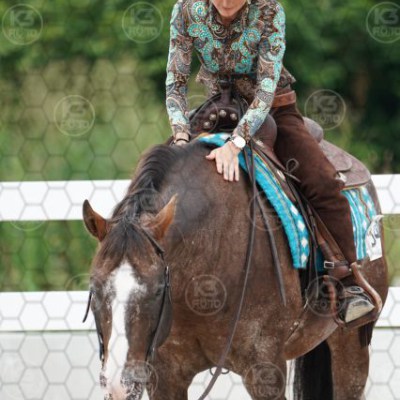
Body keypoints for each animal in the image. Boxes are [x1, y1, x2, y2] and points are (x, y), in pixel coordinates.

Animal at [82, 137, 388, 400]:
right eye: (94, 288)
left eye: (158, 290)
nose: (119, 385)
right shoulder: (164, 375)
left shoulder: (265, 368)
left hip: (351, 343)